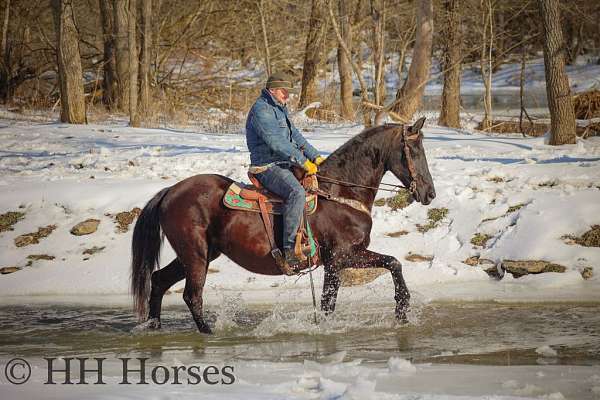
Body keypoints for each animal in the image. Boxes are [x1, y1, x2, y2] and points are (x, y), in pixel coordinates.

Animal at [131, 117, 434, 332]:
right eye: (414, 150)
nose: (429, 193)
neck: (340, 192)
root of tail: (170, 191)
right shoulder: (340, 258)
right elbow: (340, 296)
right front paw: (401, 309)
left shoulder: (342, 260)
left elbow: (389, 265)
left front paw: (401, 309)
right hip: (195, 255)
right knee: (192, 296)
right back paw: (208, 333)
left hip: (198, 255)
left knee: (158, 281)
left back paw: (154, 328)